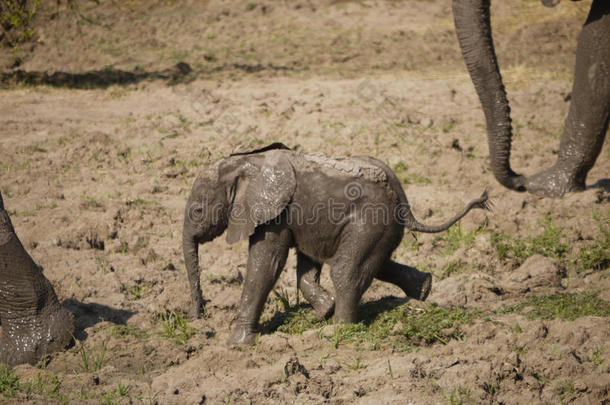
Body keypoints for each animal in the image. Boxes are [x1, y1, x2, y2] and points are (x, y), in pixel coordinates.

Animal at [182, 143, 490, 344]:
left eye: (197, 210)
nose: (199, 321)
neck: (246, 163)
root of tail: (403, 201)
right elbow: (306, 262)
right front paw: (323, 311)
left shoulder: (273, 212)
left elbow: (266, 263)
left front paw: (237, 344)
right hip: (379, 227)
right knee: (376, 263)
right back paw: (424, 288)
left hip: (369, 221)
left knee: (346, 270)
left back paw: (340, 331)